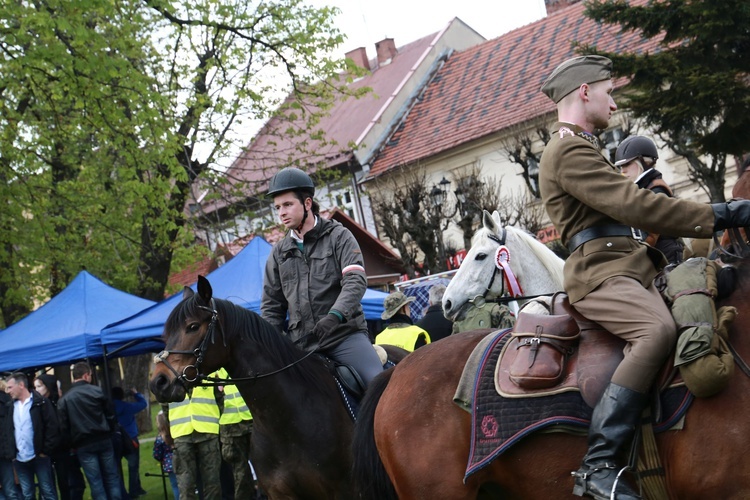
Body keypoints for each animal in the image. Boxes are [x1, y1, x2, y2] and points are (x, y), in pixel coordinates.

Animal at [150, 276, 408, 498]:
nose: (158, 382)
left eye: (193, 326)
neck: (285, 420)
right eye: (166, 333)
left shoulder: (347, 492)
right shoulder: (281, 494)